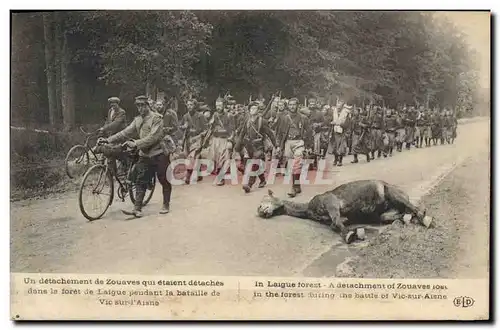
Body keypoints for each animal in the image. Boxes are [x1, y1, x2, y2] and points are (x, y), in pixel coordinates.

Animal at [258, 179, 434, 244]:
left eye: (265, 200)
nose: (261, 211)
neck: (308, 208)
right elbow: (336, 224)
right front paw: (357, 232)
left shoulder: (331, 202)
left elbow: (336, 223)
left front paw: (352, 235)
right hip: (386, 213)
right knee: (403, 213)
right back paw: (408, 218)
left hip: (393, 193)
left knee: (414, 208)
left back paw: (426, 219)